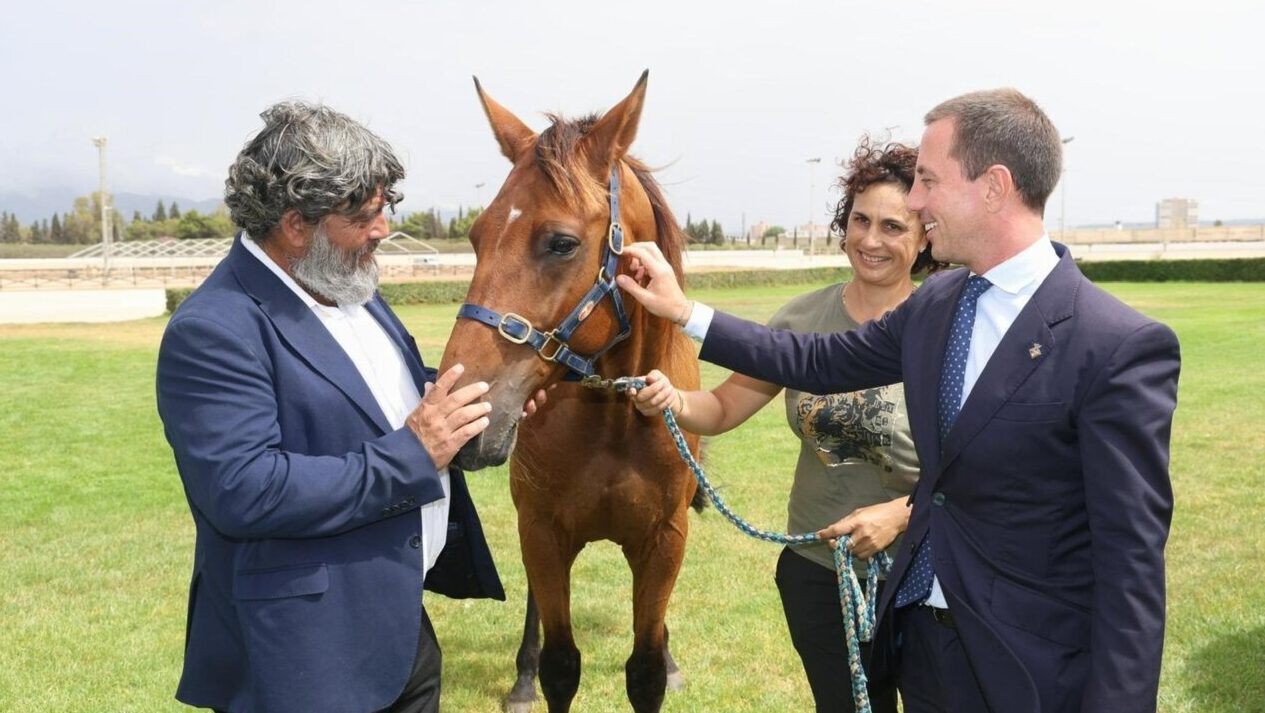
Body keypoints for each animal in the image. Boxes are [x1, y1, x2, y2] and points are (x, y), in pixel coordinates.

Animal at [437, 71, 703, 713]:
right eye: (476, 237)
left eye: (560, 243)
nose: (461, 418)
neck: (611, 415)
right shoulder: (542, 533)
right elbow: (561, 664)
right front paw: (533, 676)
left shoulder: (664, 540)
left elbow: (646, 668)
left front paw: (666, 663)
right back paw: (521, 679)